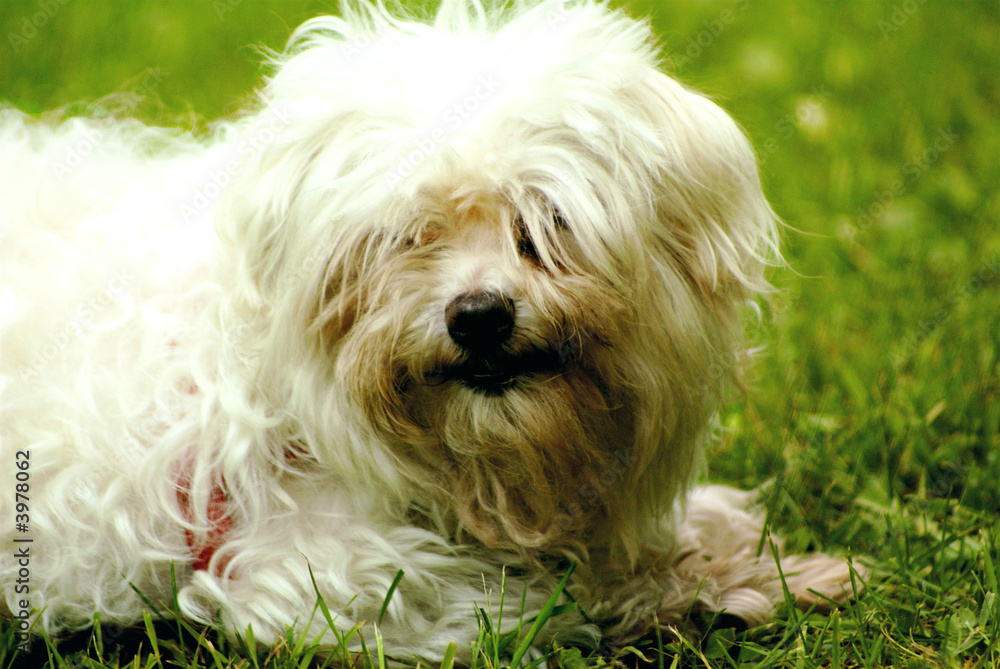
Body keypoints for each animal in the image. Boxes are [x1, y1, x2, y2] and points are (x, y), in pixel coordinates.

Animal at [1, 0, 860, 656]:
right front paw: (711, 583)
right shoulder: (326, 579)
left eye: (542, 223)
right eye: (408, 236)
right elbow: (551, 596)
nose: (479, 316)